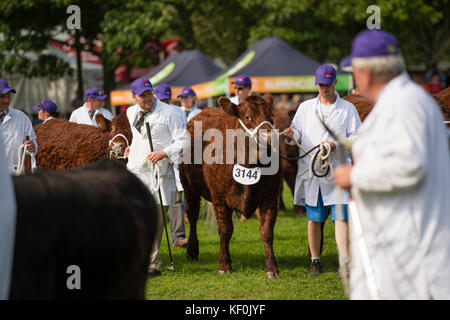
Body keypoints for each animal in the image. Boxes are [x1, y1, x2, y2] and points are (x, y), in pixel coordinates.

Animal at [179, 92, 282, 278]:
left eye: (271, 115)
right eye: (247, 117)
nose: (269, 137)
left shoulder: (270, 198)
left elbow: (267, 232)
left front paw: (272, 268)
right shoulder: (220, 197)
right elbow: (225, 230)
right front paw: (224, 265)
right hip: (188, 187)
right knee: (193, 216)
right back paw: (192, 251)